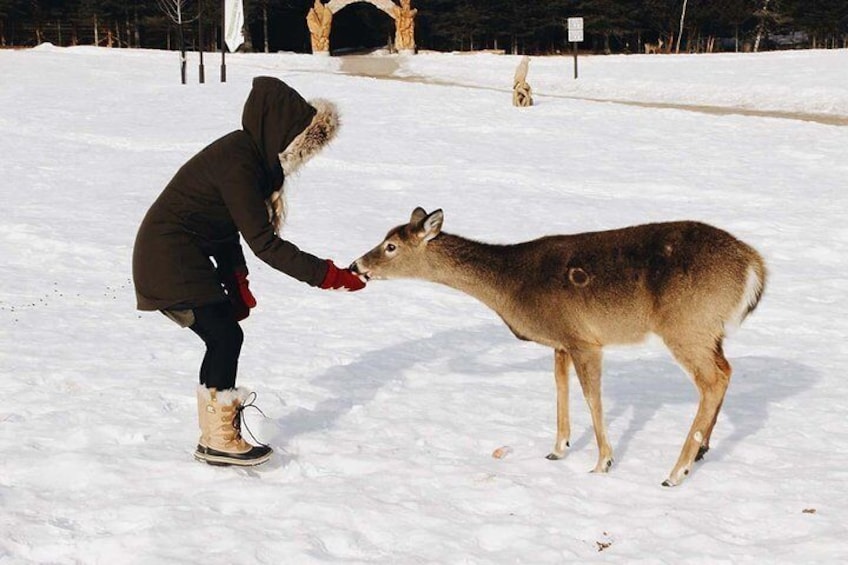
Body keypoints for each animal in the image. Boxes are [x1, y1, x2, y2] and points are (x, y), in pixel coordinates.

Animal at [352, 207, 768, 484]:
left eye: (390, 246)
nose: (356, 265)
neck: (510, 284)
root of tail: (754, 266)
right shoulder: (561, 341)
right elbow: (560, 388)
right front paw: (558, 449)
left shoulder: (585, 339)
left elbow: (591, 396)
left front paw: (602, 463)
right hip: (709, 332)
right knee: (725, 372)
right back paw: (701, 452)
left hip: (686, 326)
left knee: (712, 380)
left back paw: (675, 472)